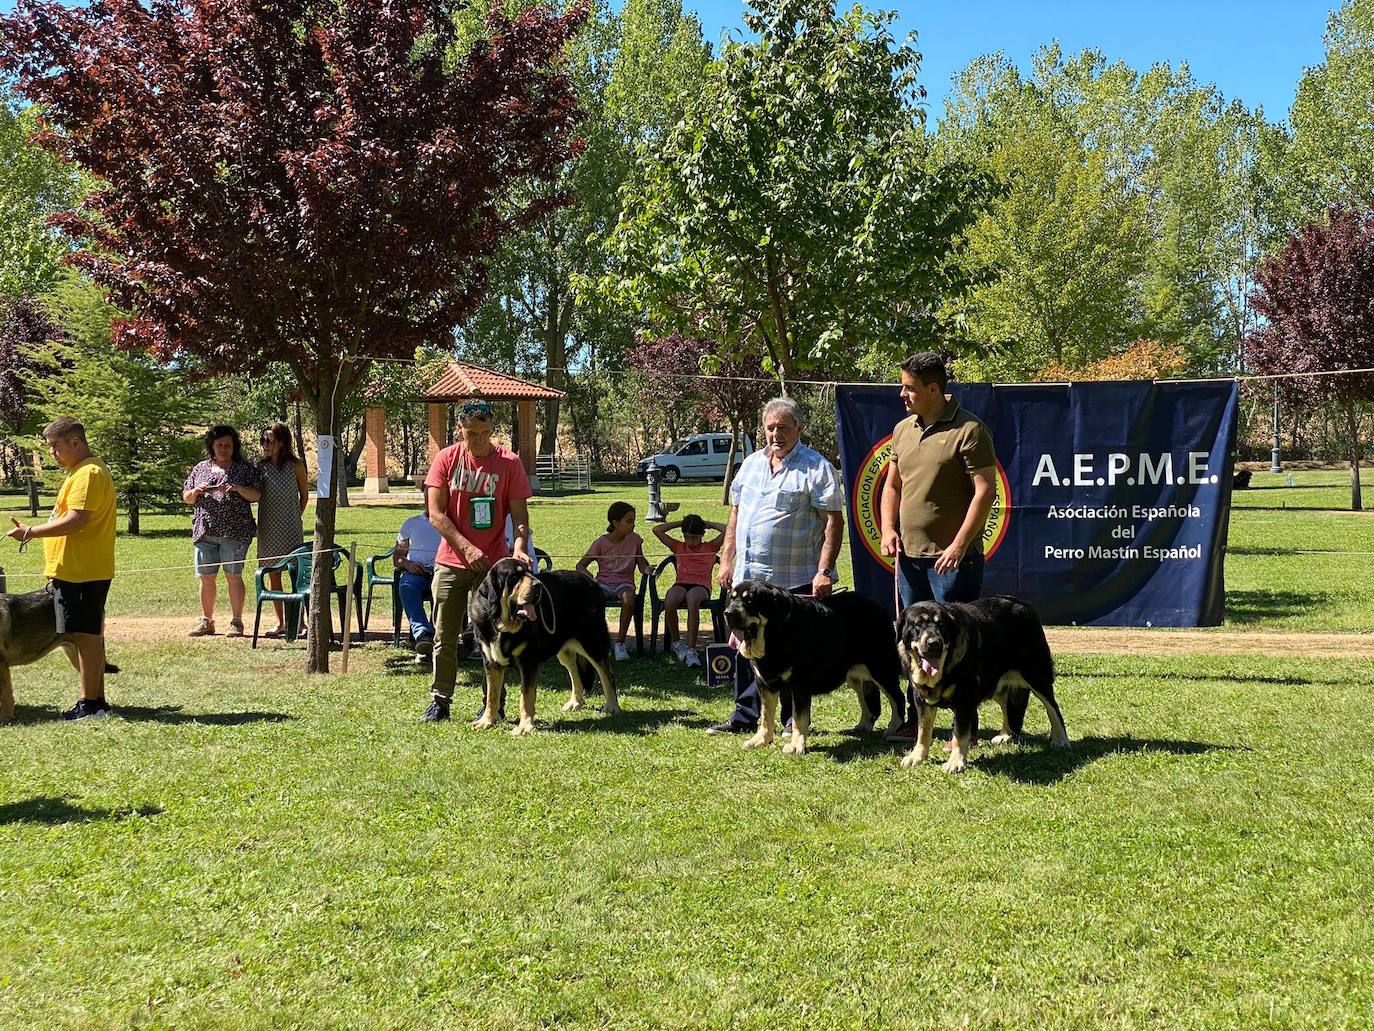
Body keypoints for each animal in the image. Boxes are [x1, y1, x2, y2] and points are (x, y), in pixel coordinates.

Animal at [472, 558, 623, 736]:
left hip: (592, 643)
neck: (502, 624)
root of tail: (592, 582)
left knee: (607, 675)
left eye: (530, 572)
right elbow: (492, 695)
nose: (538, 585)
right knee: (575, 673)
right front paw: (487, 721)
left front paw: (524, 727)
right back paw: (575, 702)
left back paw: (612, 706)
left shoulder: (528, 662)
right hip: (564, 650)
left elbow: (526, 697)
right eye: (514, 577)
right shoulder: (491, 663)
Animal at [725, 582, 906, 758]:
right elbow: (766, 715)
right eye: (732, 598)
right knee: (866, 699)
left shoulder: (799, 685)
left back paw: (894, 727)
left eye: (749, 600)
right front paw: (761, 740)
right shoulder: (764, 683)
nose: (727, 612)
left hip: (881, 669)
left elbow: (798, 719)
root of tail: (879, 607)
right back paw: (864, 724)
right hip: (855, 676)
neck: (775, 634)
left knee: (898, 698)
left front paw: (795, 746)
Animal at [890, 596, 1071, 775]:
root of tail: (1023, 604)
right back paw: (1006, 734)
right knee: (1006, 704)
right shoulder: (921, 699)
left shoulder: (964, 699)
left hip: (1036, 676)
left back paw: (1060, 739)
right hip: (994, 682)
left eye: (941, 625)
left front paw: (955, 762)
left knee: (1053, 709)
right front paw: (917, 756)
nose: (935, 642)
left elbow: (959, 734)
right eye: (917, 625)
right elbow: (923, 731)